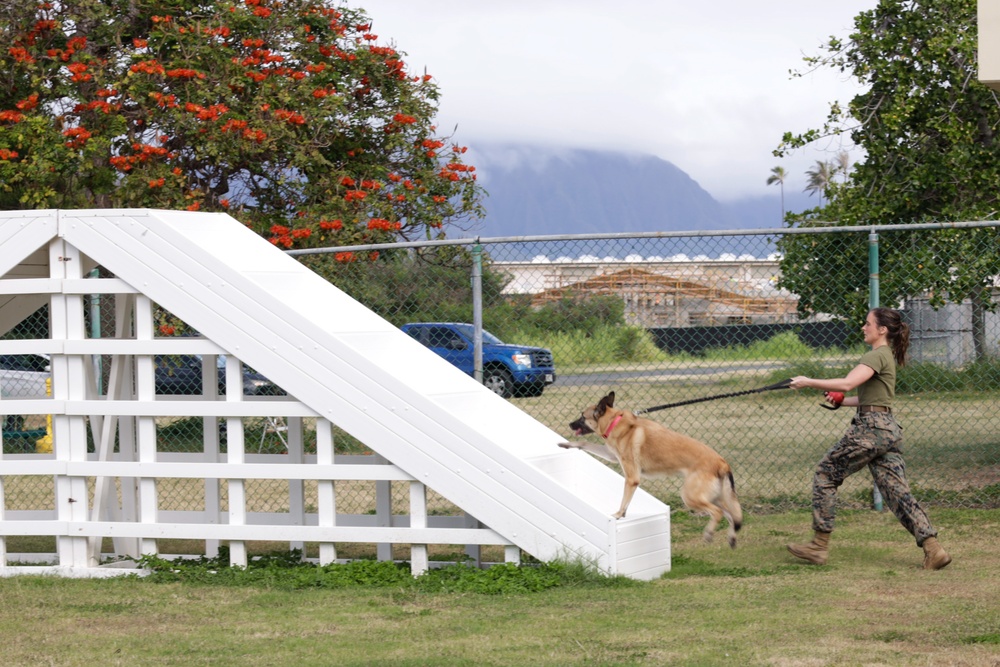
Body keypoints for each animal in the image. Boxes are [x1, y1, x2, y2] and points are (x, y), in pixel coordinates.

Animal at [564, 392, 744, 548]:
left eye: (582, 416)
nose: (569, 424)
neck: (614, 422)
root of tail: (722, 463)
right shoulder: (611, 455)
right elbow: (585, 444)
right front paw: (566, 444)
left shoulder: (631, 478)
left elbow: (624, 500)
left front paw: (618, 515)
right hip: (713, 497)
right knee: (731, 516)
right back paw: (731, 538)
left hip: (690, 496)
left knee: (718, 513)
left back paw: (708, 534)